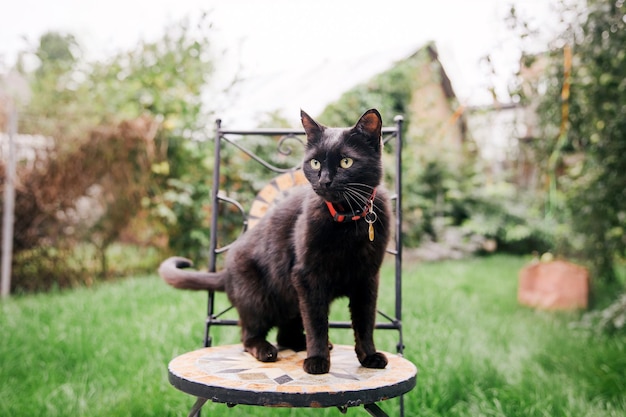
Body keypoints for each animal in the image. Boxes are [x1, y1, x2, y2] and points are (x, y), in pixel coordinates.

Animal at [158, 108, 388, 374]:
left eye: (346, 162)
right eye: (315, 163)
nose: (324, 181)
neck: (347, 219)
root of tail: (225, 273)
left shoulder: (367, 278)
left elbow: (365, 322)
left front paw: (369, 356)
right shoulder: (307, 276)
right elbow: (317, 323)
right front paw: (317, 360)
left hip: (291, 299)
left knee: (285, 335)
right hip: (259, 299)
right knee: (249, 336)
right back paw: (266, 350)